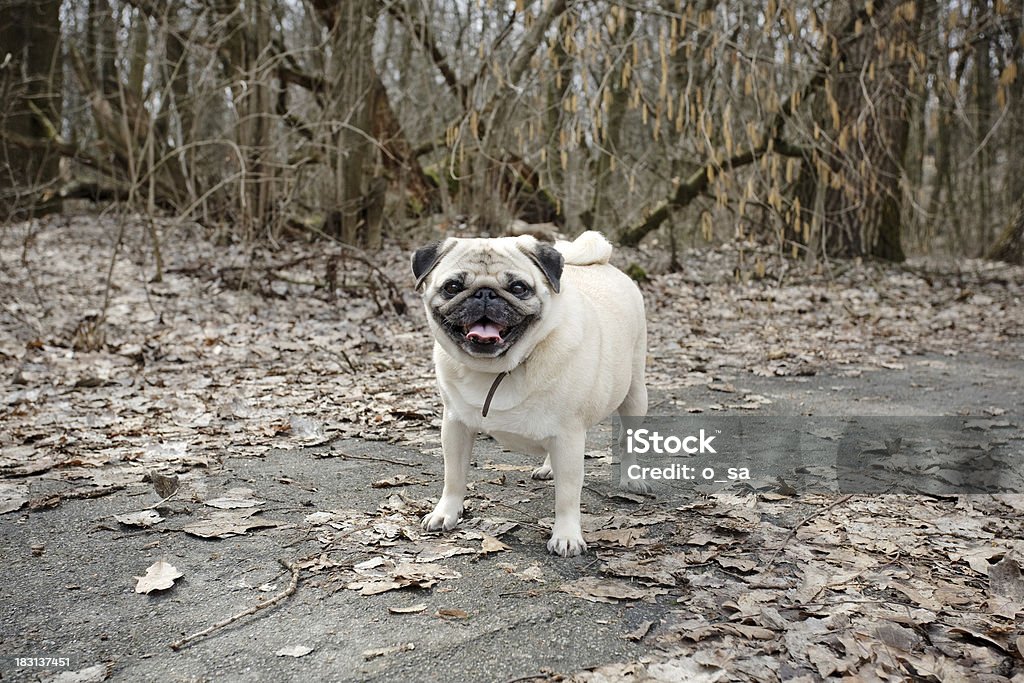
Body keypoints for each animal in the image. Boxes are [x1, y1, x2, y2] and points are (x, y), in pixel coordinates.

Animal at [409, 229, 643, 557]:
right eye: (453, 286)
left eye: (518, 288)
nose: (485, 293)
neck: (499, 368)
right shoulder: (455, 425)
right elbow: (453, 476)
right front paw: (446, 513)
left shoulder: (569, 436)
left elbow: (567, 495)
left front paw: (566, 535)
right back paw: (548, 468)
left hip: (635, 394)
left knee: (628, 440)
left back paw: (632, 480)